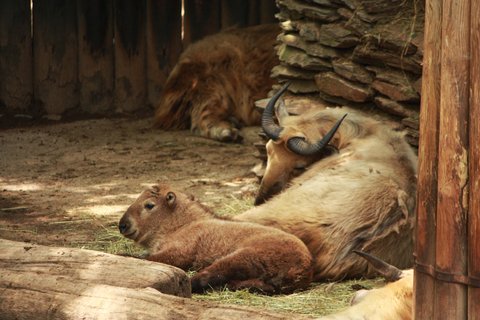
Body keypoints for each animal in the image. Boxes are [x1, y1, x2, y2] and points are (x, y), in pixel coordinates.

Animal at [119, 184, 314, 294]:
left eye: (149, 205)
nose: (123, 225)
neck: (183, 224)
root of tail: (303, 267)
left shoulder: (179, 253)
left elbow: (146, 258)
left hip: (238, 258)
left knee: (201, 279)